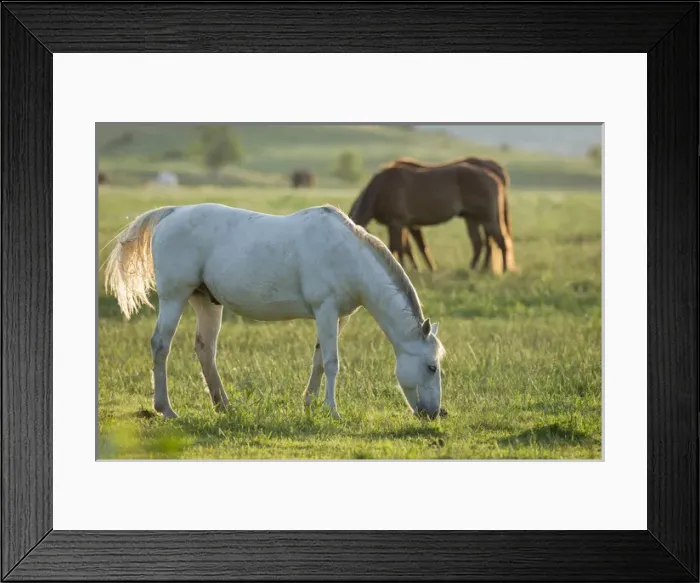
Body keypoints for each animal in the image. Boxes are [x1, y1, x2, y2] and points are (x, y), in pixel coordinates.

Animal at [104, 203, 446, 421]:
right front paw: (332, 411)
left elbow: (318, 360)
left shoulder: (338, 317)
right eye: (431, 367)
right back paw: (166, 409)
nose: (436, 414)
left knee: (205, 350)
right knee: (161, 345)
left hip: (206, 301)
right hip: (175, 297)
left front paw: (309, 405)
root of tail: (172, 213)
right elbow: (332, 362)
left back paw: (223, 405)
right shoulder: (325, 309)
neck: (348, 255)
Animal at [348, 160, 516, 275]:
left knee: (501, 241)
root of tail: (494, 177)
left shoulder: (397, 223)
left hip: (488, 220)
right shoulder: (401, 225)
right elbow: (403, 248)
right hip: (472, 219)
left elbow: (396, 247)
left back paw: (504, 270)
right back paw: (473, 269)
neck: (380, 188)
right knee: (479, 243)